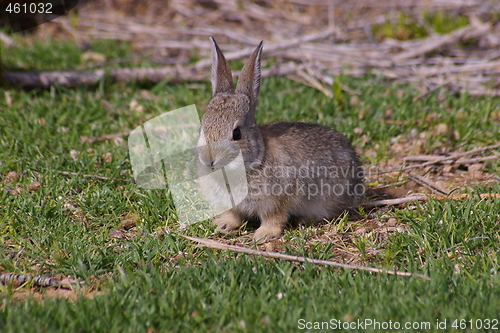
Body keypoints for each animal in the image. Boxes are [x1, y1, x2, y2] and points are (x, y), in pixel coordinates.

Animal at [196, 38, 364, 241]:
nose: (208, 160)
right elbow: (232, 214)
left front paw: (264, 235)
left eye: (237, 134)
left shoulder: (278, 200)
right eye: (203, 127)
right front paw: (223, 225)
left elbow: (274, 218)